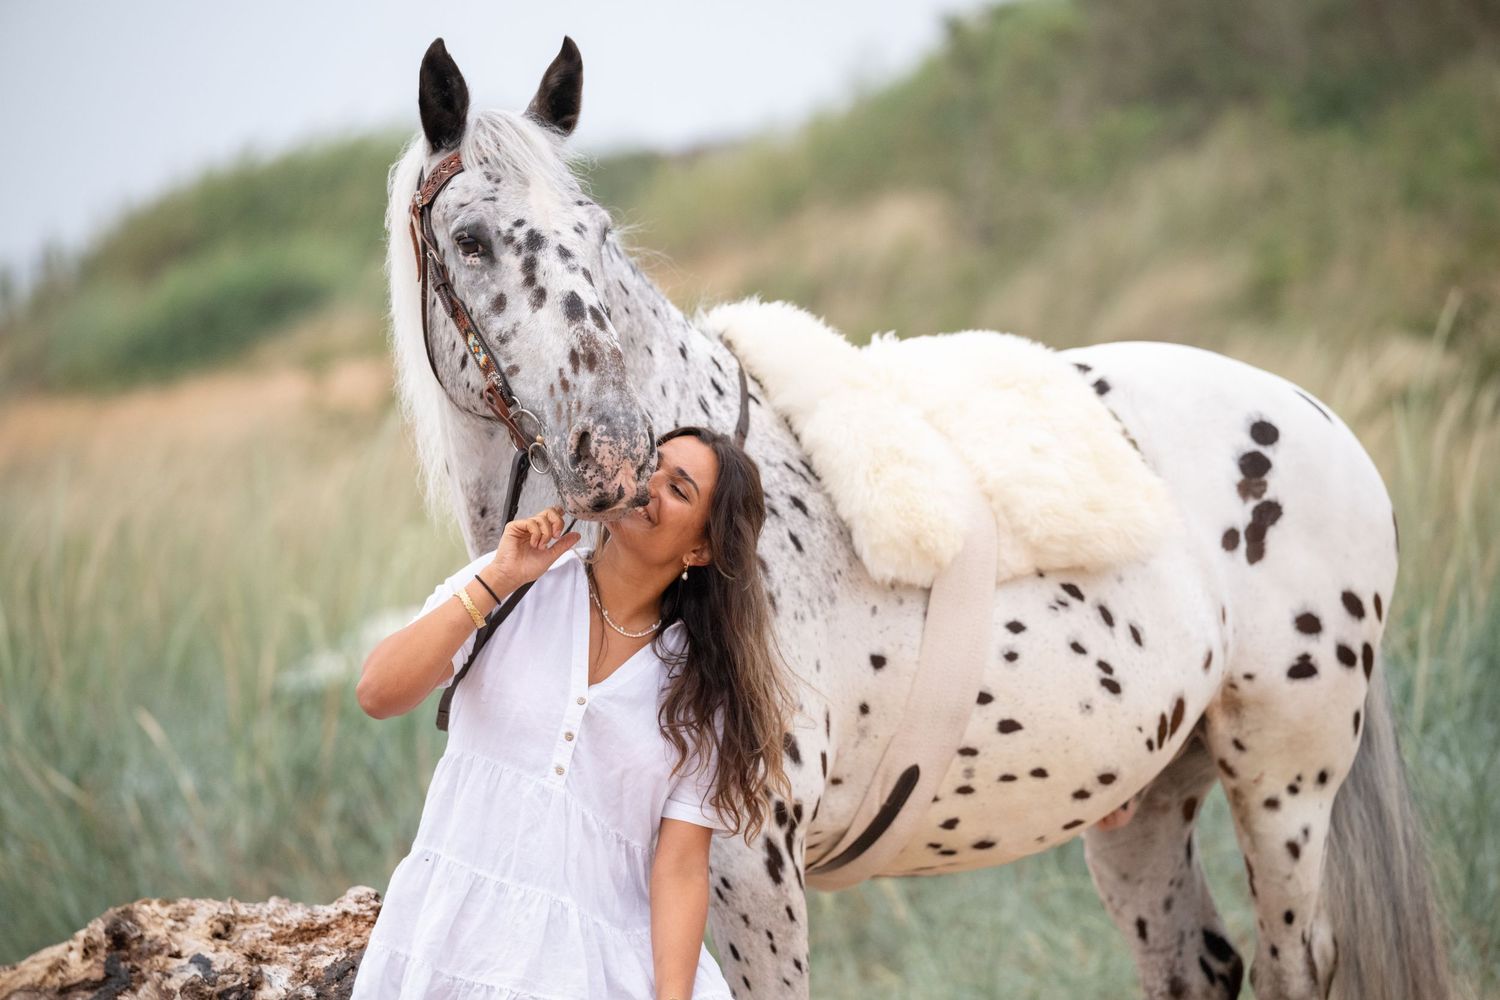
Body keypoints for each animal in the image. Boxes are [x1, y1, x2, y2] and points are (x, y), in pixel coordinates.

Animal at [382, 36, 1451, 1000]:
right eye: (470, 241)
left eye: (599, 236)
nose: (613, 449)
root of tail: (1319, 421)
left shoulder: (748, 864)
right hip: (1146, 803)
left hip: (1284, 779)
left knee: (1294, 961)